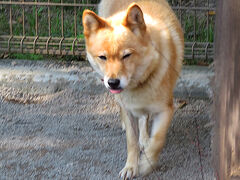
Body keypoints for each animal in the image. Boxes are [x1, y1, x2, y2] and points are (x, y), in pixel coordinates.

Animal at [82, 0, 184, 179]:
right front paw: (131, 166)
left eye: (126, 55)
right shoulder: (129, 111)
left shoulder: (165, 110)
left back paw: (144, 138)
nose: (113, 82)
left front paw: (146, 164)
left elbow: (157, 140)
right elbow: (131, 142)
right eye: (103, 57)